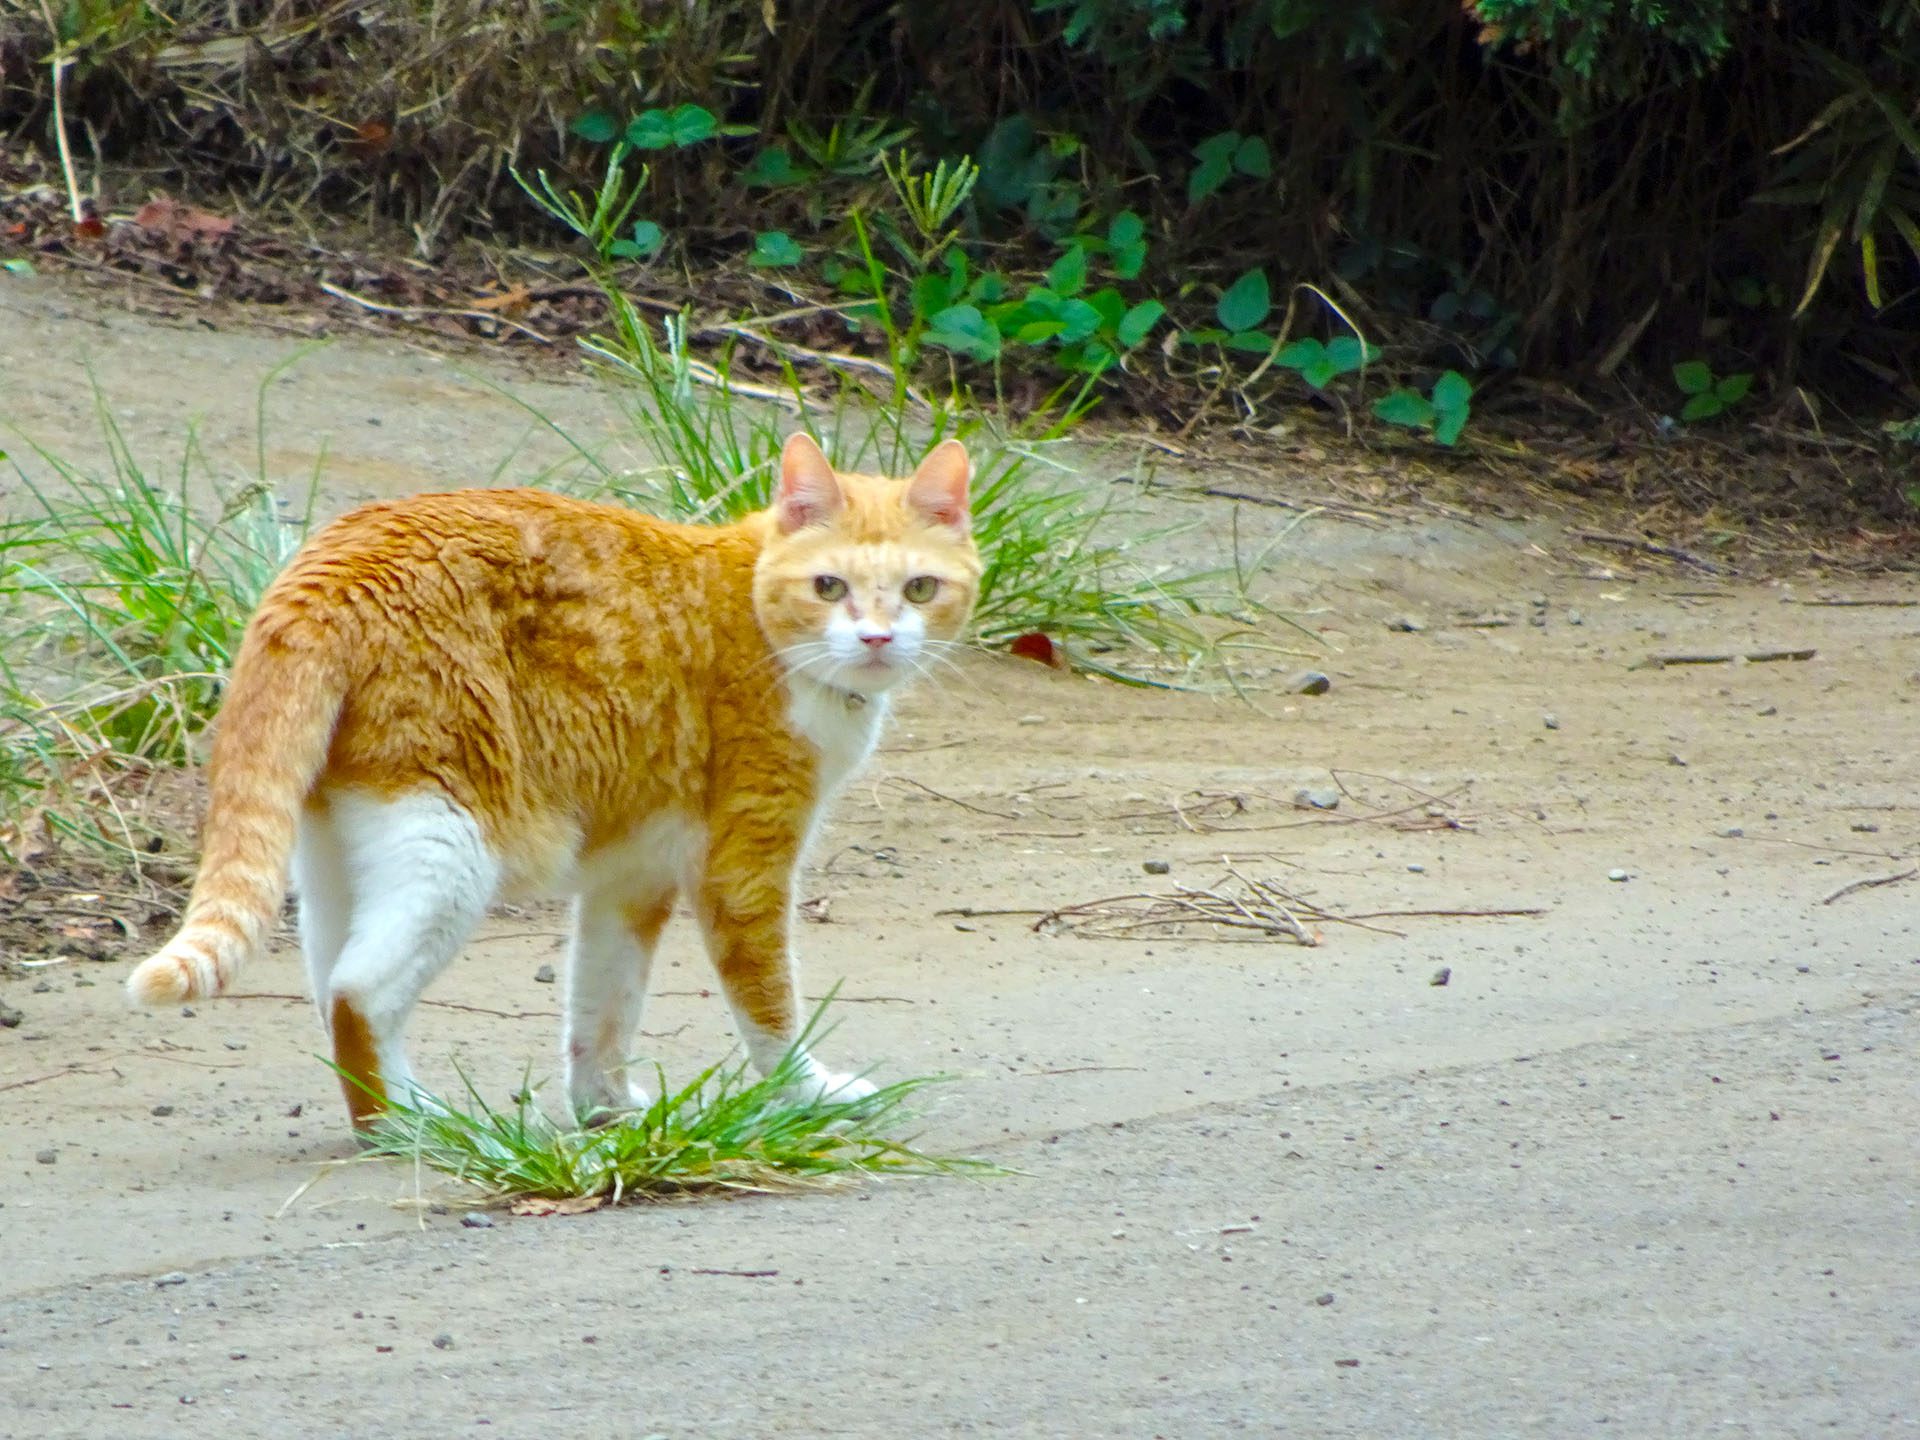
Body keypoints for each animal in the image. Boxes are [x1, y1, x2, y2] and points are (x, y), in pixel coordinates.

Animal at [127, 433, 983, 1136]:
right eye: (829, 587)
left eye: (919, 590)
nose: (877, 638)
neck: (755, 610)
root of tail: (330, 567)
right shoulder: (742, 868)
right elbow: (770, 1007)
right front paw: (807, 1095)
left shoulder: (632, 877)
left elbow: (602, 1008)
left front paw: (605, 1110)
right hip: (451, 844)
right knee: (357, 991)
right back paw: (407, 1129)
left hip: (341, 849)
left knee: (329, 975)